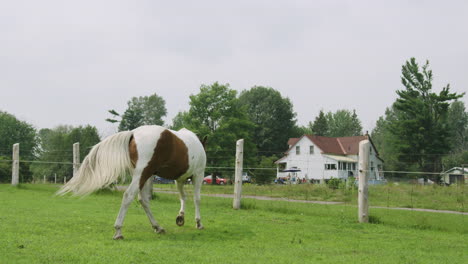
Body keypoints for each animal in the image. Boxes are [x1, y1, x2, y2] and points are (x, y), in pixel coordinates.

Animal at [57, 125, 207, 239]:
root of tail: (133, 133)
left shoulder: (179, 179)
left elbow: (183, 197)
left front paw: (180, 218)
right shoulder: (198, 175)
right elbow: (197, 199)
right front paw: (198, 223)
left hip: (145, 175)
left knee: (143, 200)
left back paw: (157, 227)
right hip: (142, 174)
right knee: (129, 195)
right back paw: (118, 231)